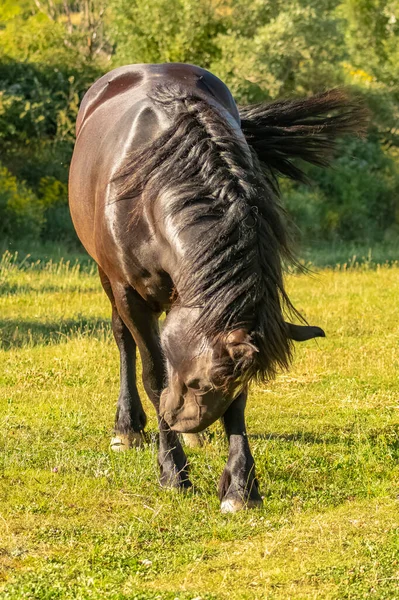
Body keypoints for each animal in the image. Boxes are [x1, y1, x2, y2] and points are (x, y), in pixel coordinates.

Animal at [69, 63, 366, 512]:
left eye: (211, 383)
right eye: (197, 382)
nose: (179, 420)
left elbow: (236, 406)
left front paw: (241, 485)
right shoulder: (130, 294)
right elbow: (153, 374)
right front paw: (172, 471)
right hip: (108, 278)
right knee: (124, 341)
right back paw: (128, 428)